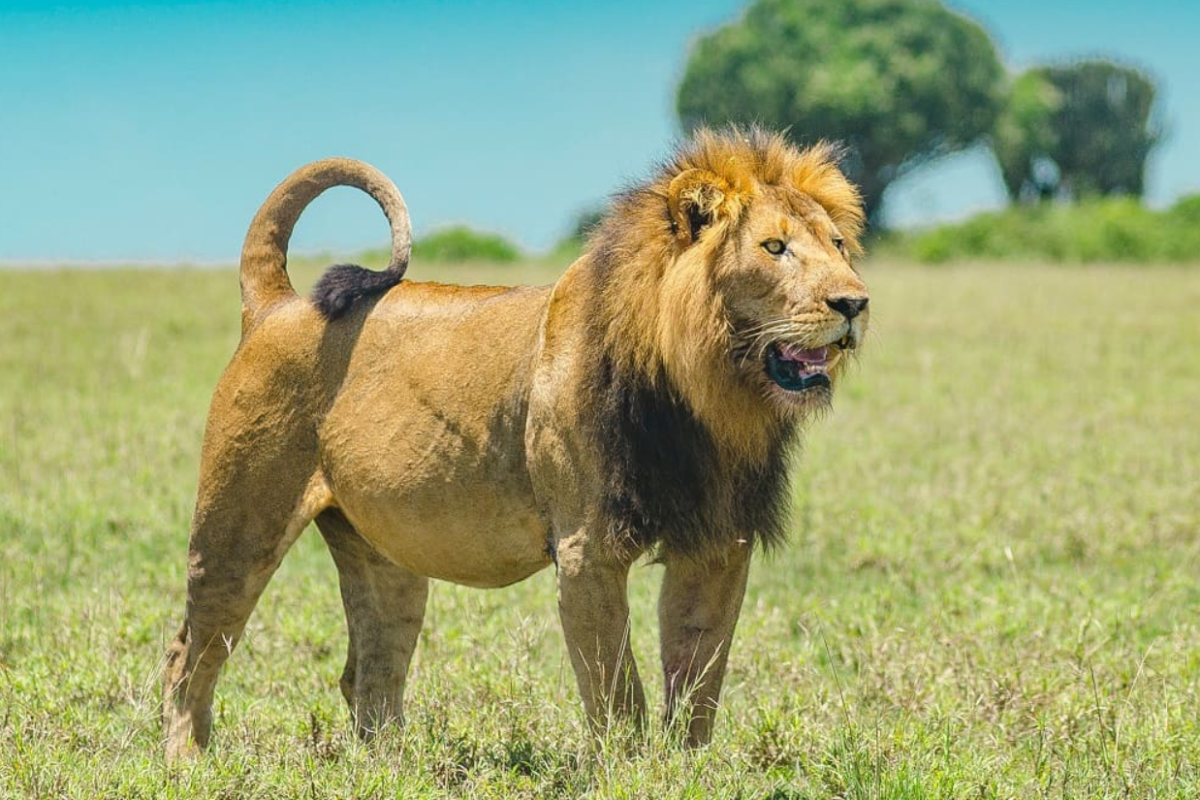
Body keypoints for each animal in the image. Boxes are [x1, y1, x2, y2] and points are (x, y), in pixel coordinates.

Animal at [162, 127, 869, 759]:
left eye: (838, 245)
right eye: (774, 247)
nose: (855, 302)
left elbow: (698, 675)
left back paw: (393, 765)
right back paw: (187, 759)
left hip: (383, 553)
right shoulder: (587, 549)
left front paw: (689, 768)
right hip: (238, 526)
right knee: (189, 654)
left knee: (368, 671)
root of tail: (278, 304)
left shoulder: (719, 542)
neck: (706, 395)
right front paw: (630, 769)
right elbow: (617, 689)